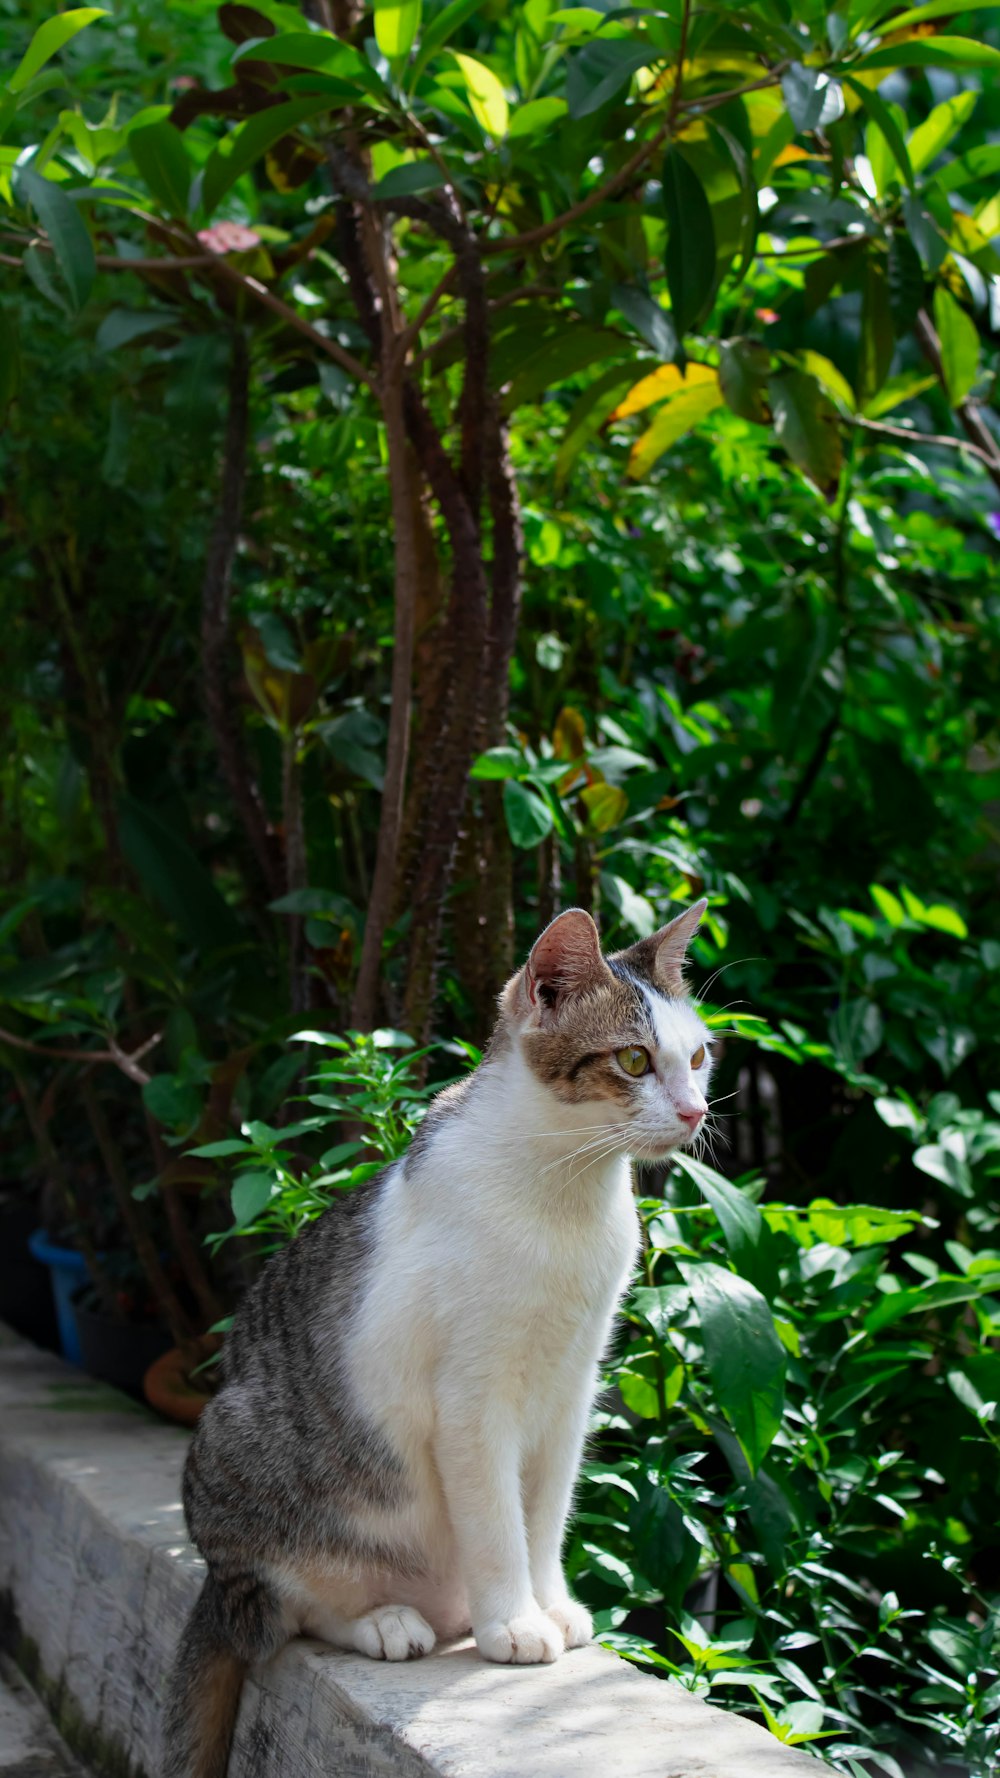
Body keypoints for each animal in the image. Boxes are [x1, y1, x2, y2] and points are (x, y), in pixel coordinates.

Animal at [159, 903, 708, 1778]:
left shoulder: (570, 1389)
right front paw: (515, 1622)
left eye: (697, 1057)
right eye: (633, 1059)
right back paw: (385, 1621)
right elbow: (497, 1524)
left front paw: (551, 1604)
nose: (695, 1111)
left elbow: (545, 1514)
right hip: (235, 1448)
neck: (566, 1196)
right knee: (278, 1616)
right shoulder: (473, 1400)